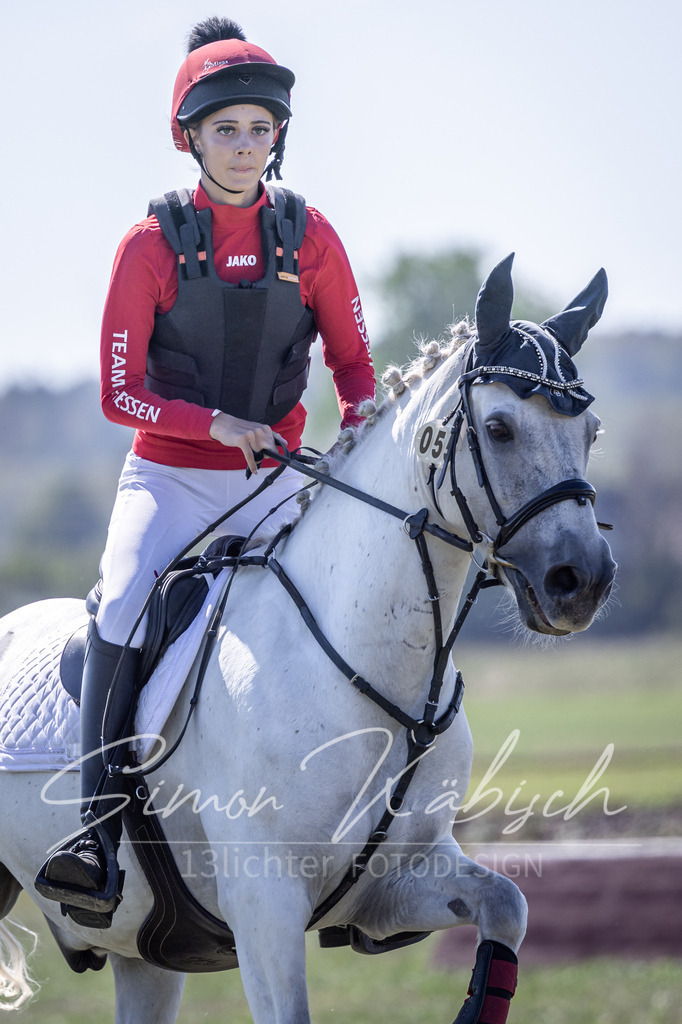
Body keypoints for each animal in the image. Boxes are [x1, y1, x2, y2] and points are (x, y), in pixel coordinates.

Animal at [0, 254, 616, 1023]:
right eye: (500, 428)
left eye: (591, 431)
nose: (582, 580)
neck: (373, 671)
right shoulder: (263, 905)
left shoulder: (398, 882)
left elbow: (506, 905)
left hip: (145, 954)